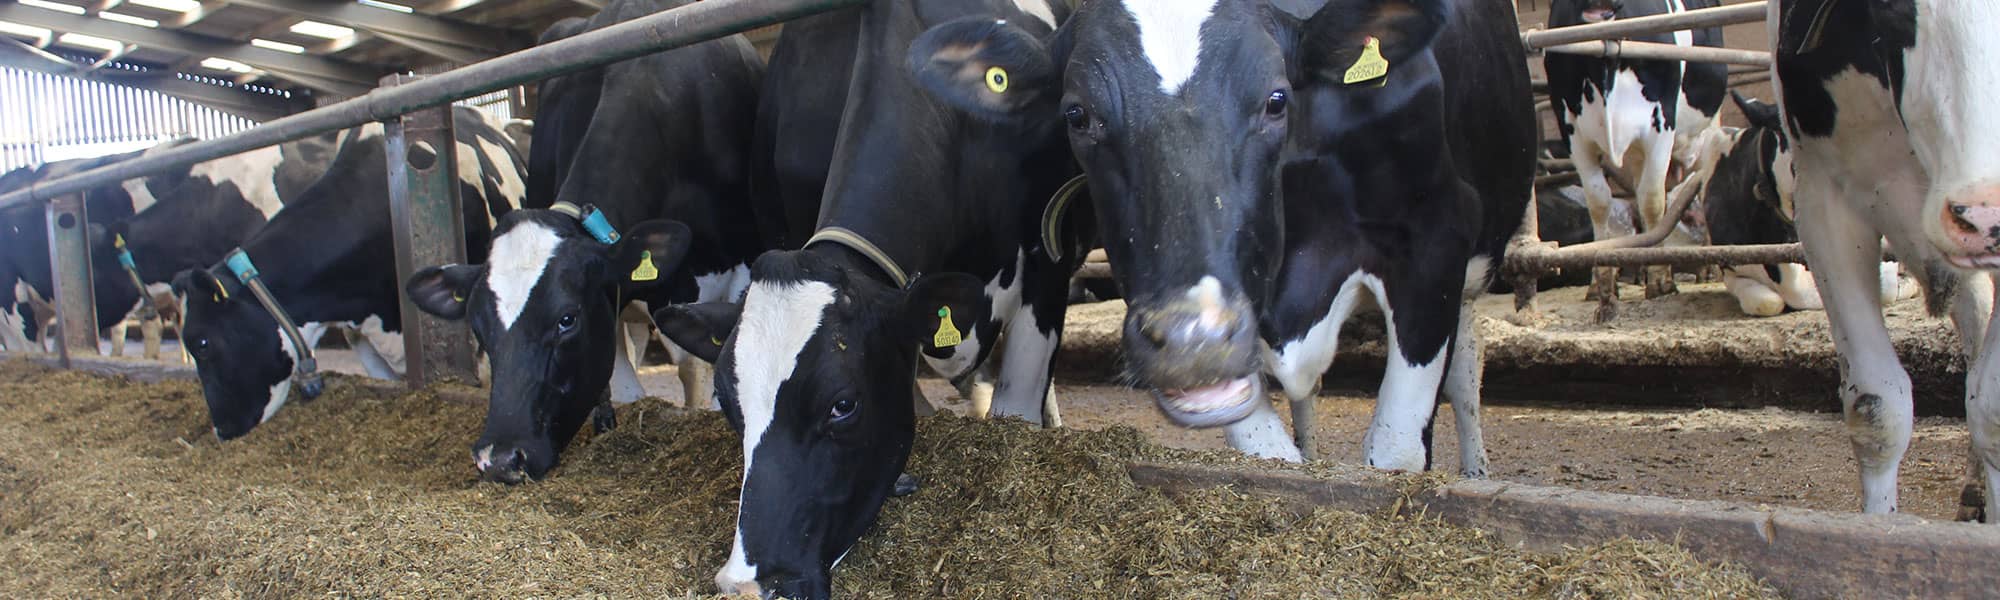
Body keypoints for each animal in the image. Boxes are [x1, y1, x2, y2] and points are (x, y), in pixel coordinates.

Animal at [908, 0, 1533, 475]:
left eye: (1277, 99)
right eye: (1077, 115)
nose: (1193, 341)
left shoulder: (1435, 241)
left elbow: (1395, 449)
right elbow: (1267, 451)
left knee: (1466, 378)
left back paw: (1476, 472)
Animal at [1546, 0, 1729, 321]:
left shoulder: (1660, 127)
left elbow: (1653, 202)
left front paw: (1661, 280)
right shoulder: (1575, 135)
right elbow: (1599, 205)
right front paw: (1603, 285)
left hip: (1705, 130)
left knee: (1697, 187)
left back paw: (1707, 267)